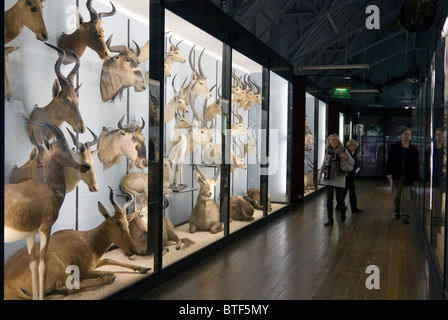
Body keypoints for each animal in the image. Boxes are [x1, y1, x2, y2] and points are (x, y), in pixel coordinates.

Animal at [3, 120, 90, 300]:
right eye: (63, 147)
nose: (85, 166)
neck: (46, 187)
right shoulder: (45, 230)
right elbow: (41, 266)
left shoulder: (29, 235)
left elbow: (32, 266)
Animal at [3, 185, 150, 300]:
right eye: (118, 222)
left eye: (127, 222)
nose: (133, 250)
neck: (86, 239)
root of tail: (9, 285)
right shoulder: (85, 270)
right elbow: (110, 271)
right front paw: (110, 276)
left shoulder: (95, 263)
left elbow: (110, 259)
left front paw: (144, 268)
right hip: (57, 263)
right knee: (71, 287)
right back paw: (107, 279)